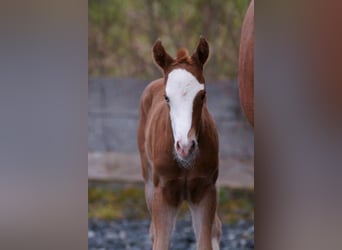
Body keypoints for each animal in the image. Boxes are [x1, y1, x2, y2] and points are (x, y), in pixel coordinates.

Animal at [137, 37, 222, 250]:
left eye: (202, 95)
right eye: (166, 97)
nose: (185, 147)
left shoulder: (206, 190)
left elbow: (205, 242)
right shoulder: (162, 192)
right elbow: (160, 242)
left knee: (216, 227)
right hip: (148, 183)